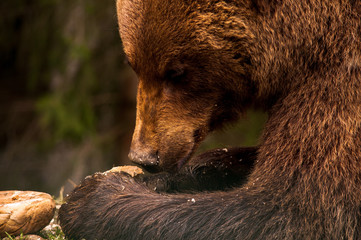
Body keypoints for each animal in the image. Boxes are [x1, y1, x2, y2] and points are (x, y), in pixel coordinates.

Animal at [59, 0, 360, 239]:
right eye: (133, 64)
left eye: (176, 72)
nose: (144, 156)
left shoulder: (339, 84)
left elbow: (288, 210)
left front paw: (91, 196)